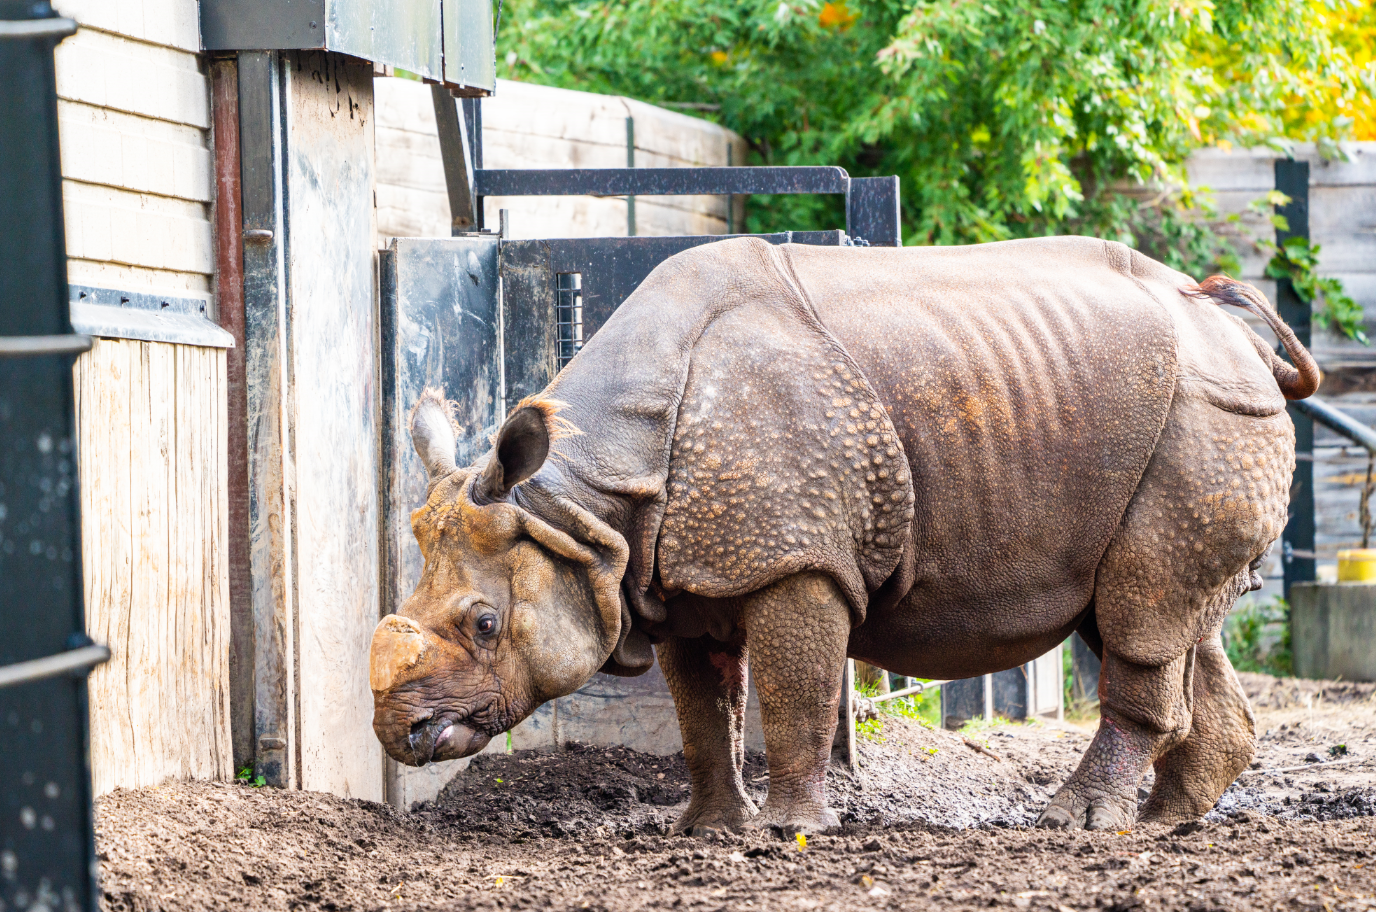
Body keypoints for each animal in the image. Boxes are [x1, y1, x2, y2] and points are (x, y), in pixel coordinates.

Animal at [369, 235, 1317, 834]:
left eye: (484, 624)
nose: (401, 736)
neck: (578, 503)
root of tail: (1233, 332)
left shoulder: (795, 560)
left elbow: (796, 692)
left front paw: (787, 833)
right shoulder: (673, 576)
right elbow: (705, 708)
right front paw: (703, 830)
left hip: (1203, 414)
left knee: (1138, 616)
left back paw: (1078, 824)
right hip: (1167, 419)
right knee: (1156, 617)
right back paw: (1163, 823)